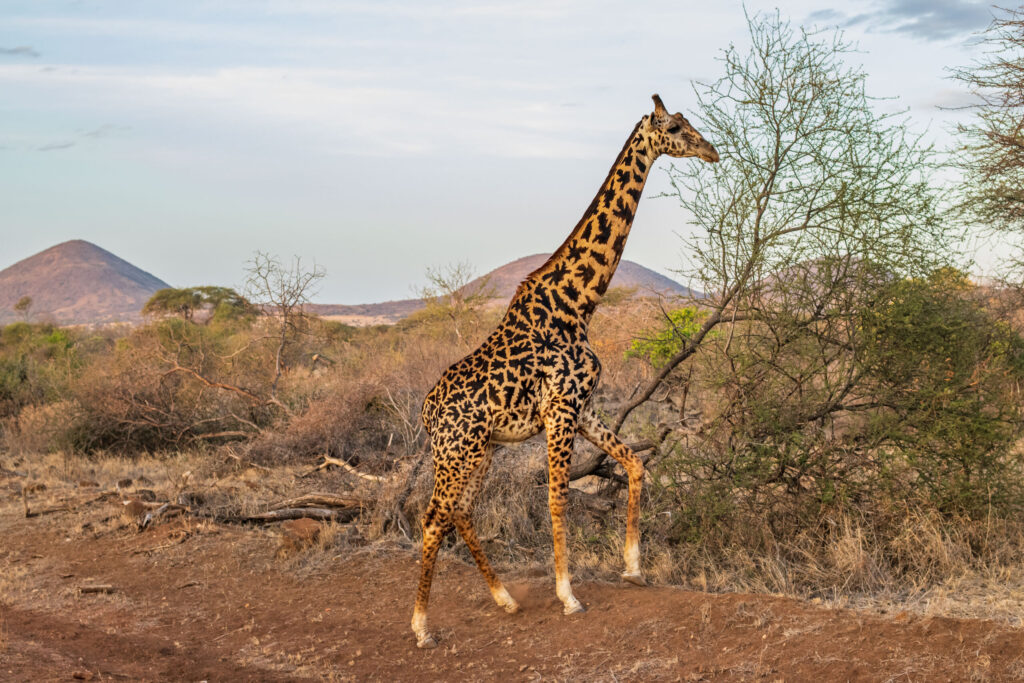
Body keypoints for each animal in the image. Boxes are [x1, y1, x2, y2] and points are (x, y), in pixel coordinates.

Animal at [412, 94, 719, 648]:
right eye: (674, 127)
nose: (712, 150)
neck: (579, 302)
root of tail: (425, 412)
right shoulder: (560, 409)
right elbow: (558, 499)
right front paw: (568, 595)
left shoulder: (585, 407)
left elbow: (635, 464)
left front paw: (633, 569)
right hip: (456, 451)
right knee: (433, 517)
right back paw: (422, 626)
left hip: (481, 450)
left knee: (460, 511)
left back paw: (505, 599)